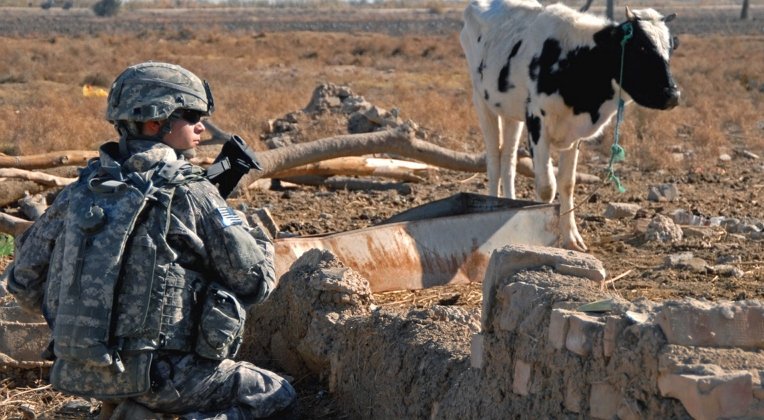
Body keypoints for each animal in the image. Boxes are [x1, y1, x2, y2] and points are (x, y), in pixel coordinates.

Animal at [460, 0, 680, 252]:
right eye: (641, 48)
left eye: (670, 49)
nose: (673, 95)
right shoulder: (537, 123)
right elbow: (547, 187)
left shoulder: (574, 134)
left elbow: (567, 184)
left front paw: (572, 238)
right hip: (482, 102)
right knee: (494, 161)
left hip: (510, 112)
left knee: (508, 159)